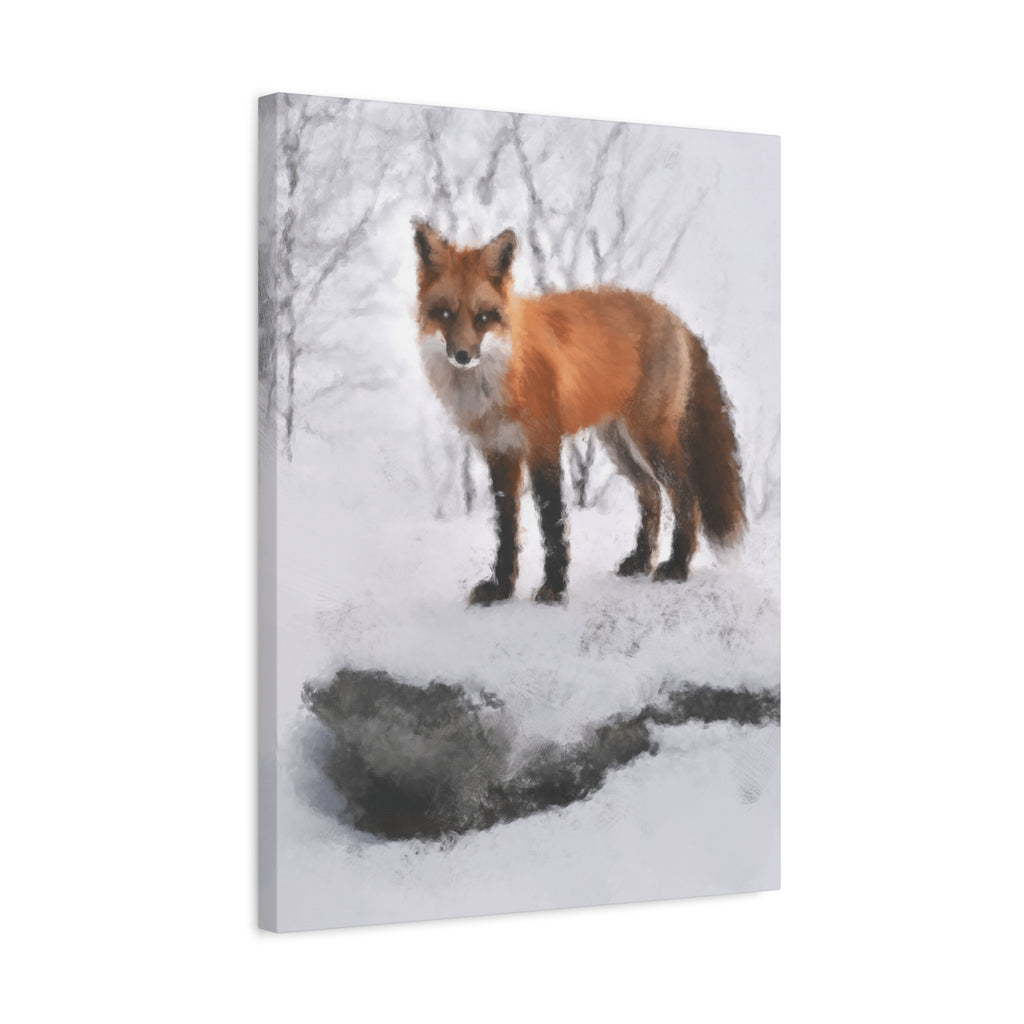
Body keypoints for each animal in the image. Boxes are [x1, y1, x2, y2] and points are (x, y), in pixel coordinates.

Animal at [413, 220, 745, 606]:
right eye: (445, 313)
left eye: (482, 317)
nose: (463, 356)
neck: (498, 380)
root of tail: (673, 316)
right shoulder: (500, 451)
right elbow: (506, 527)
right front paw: (501, 588)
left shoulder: (543, 443)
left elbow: (551, 520)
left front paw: (554, 588)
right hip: (619, 445)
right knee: (651, 495)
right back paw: (641, 560)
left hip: (651, 440)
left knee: (686, 497)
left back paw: (677, 566)